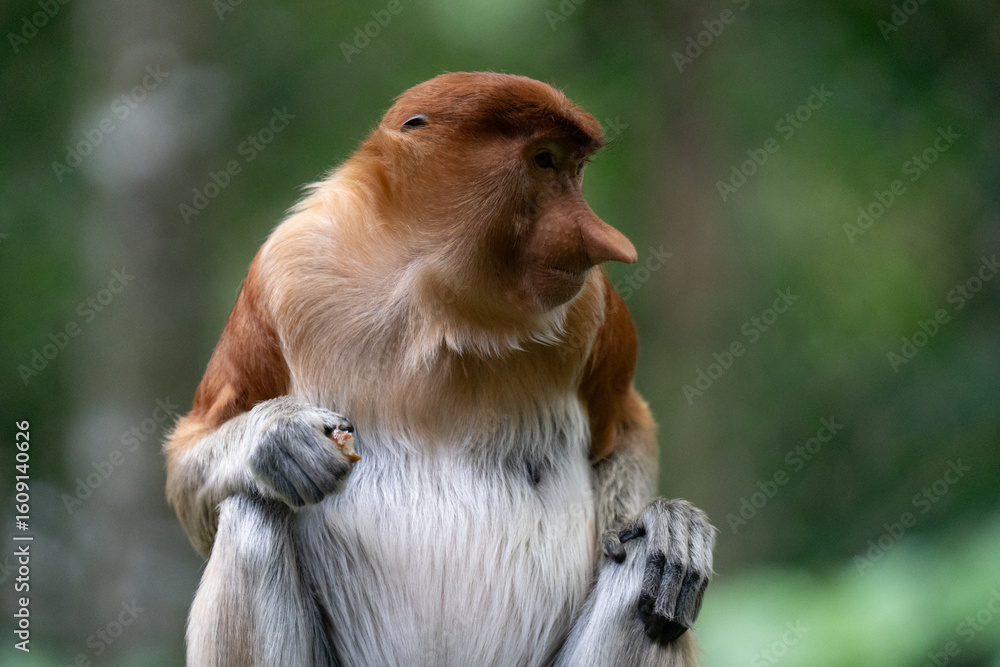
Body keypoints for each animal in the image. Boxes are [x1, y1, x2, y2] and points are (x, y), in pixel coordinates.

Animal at [165, 72, 715, 666]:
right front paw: (279, 439)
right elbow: (190, 461)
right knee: (253, 511)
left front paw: (673, 530)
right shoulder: (281, 271)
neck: (435, 301)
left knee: (645, 580)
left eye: (575, 169)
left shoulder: (592, 304)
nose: (605, 242)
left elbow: (626, 430)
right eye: (545, 161)